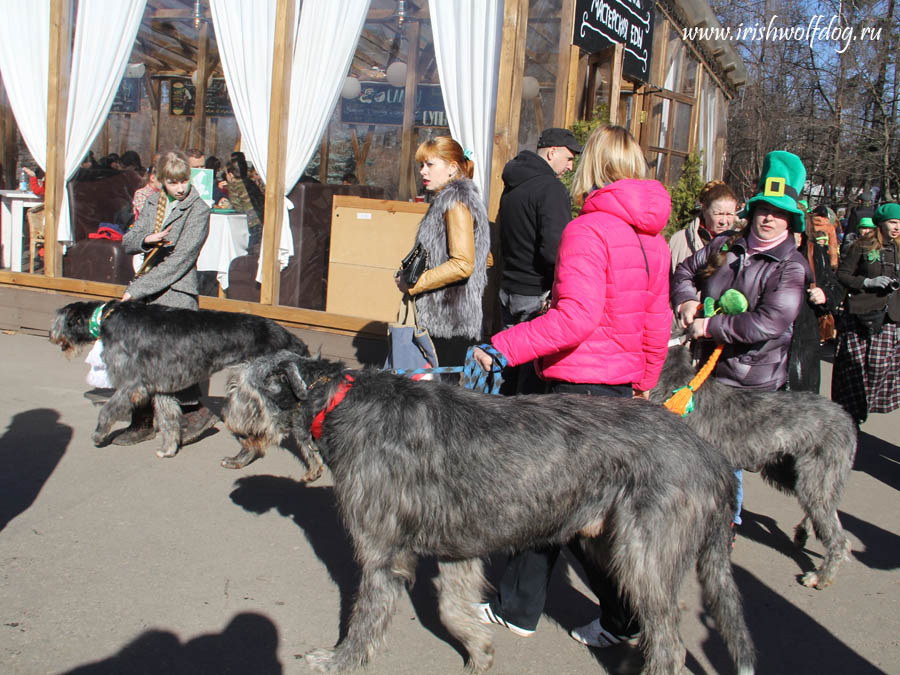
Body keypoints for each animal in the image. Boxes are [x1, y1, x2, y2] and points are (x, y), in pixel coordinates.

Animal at [49, 300, 310, 460]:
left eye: (58, 320)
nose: (51, 335)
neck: (106, 318)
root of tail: (292, 338)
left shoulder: (133, 383)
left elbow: (108, 410)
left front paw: (99, 434)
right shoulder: (161, 387)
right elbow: (168, 419)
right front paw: (168, 448)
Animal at [221, 352, 756, 672]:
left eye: (240, 388)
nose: (229, 423)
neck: (338, 401)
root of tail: (713, 459)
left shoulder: (381, 550)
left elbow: (366, 613)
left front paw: (337, 661)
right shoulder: (460, 544)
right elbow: (452, 608)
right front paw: (479, 651)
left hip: (645, 550)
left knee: (670, 642)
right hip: (608, 539)